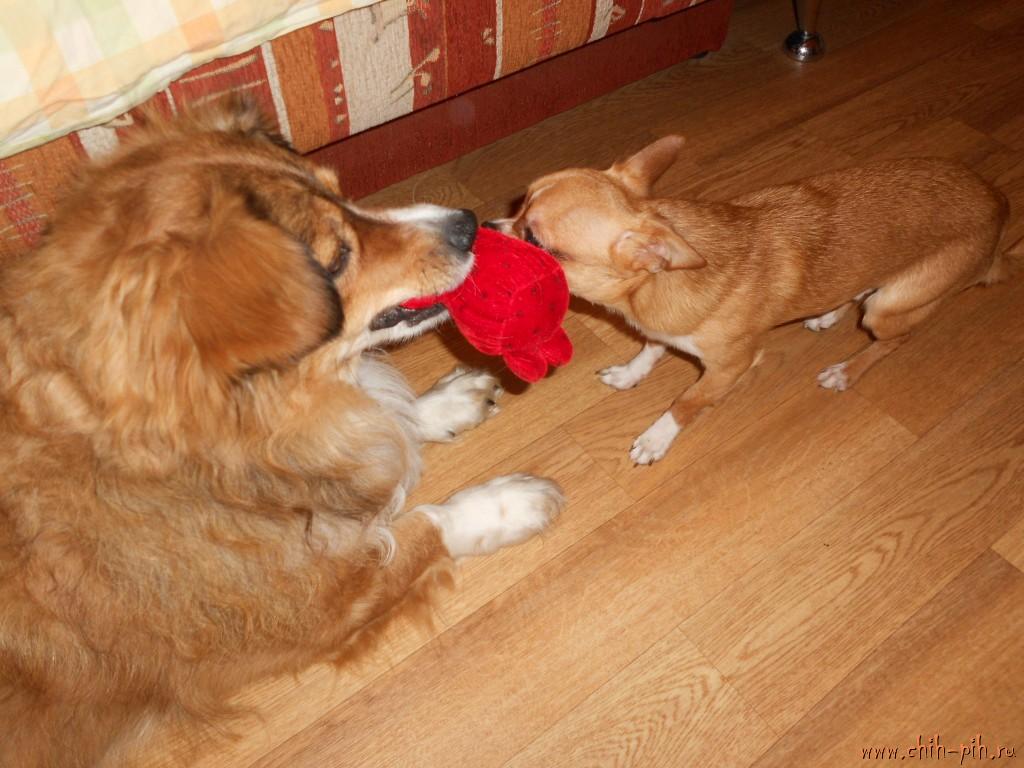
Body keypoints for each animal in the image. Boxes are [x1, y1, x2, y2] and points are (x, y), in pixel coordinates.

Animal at [0, 99, 563, 768]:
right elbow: (425, 526)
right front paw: (512, 502)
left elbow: (387, 421)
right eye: (336, 258)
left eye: (339, 191)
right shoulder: (314, 605)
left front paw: (443, 405)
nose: (468, 223)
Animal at [491, 135, 1017, 464]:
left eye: (535, 240)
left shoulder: (729, 367)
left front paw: (658, 437)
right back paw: (828, 314)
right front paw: (630, 373)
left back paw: (846, 370)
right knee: (857, 288)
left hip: (891, 307)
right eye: (519, 203)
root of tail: (998, 208)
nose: (483, 227)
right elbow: (651, 350)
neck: (652, 290)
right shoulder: (662, 330)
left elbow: (687, 400)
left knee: (892, 339)